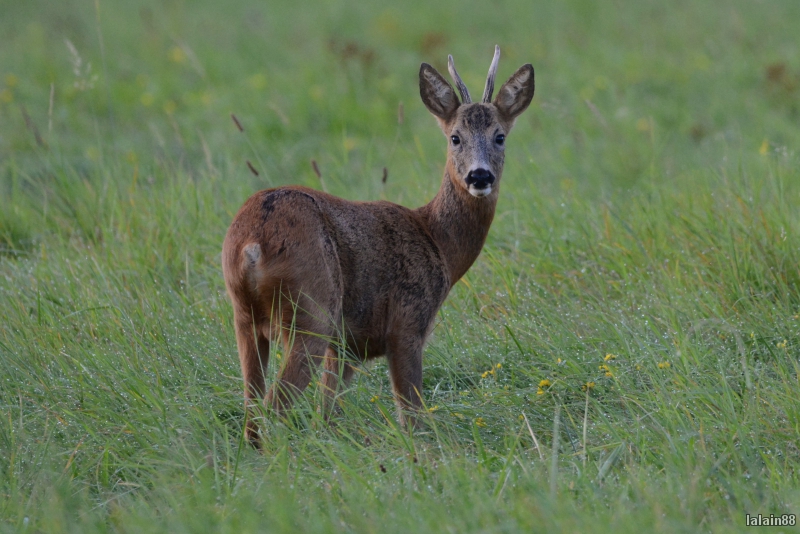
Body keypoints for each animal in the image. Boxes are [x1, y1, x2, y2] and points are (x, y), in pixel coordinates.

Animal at [222, 46, 536, 446]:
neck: (437, 241)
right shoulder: (407, 323)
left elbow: (328, 412)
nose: (479, 176)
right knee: (273, 406)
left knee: (253, 406)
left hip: (244, 317)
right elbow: (412, 415)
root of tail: (253, 243)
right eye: (455, 137)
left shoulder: (347, 347)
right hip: (312, 311)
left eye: (499, 136)